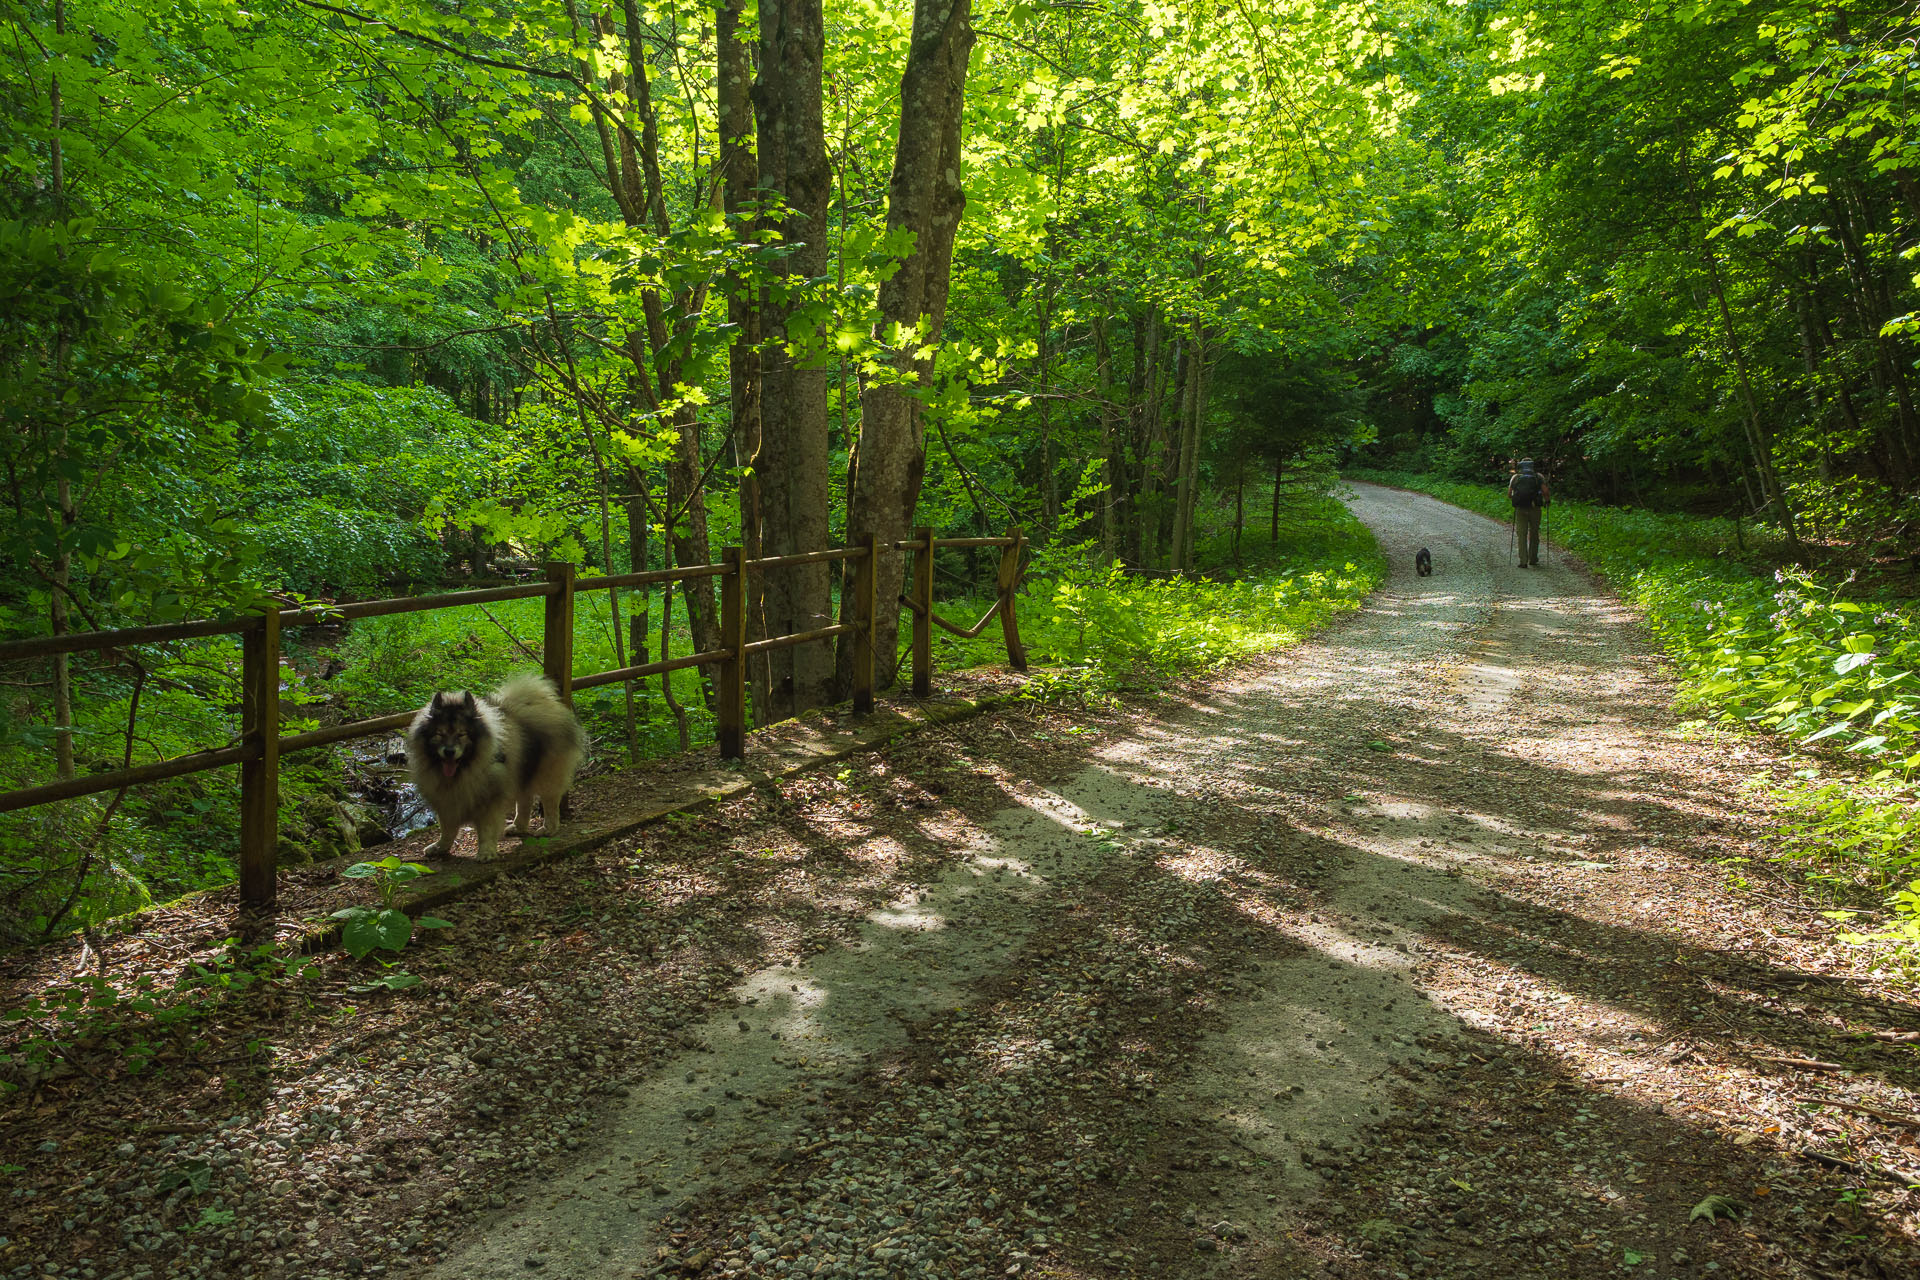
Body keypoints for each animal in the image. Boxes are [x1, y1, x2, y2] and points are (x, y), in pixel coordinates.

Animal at [405, 671, 583, 859]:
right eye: (440, 733)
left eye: (462, 734)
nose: (449, 751)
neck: (462, 772)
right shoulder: (446, 801)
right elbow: (447, 830)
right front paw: (440, 847)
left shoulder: (489, 801)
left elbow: (486, 829)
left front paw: (486, 852)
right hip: (521, 770)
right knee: (525, 800)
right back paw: (518, 826)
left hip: (547, 774)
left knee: (550, 802)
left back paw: (549, 828)